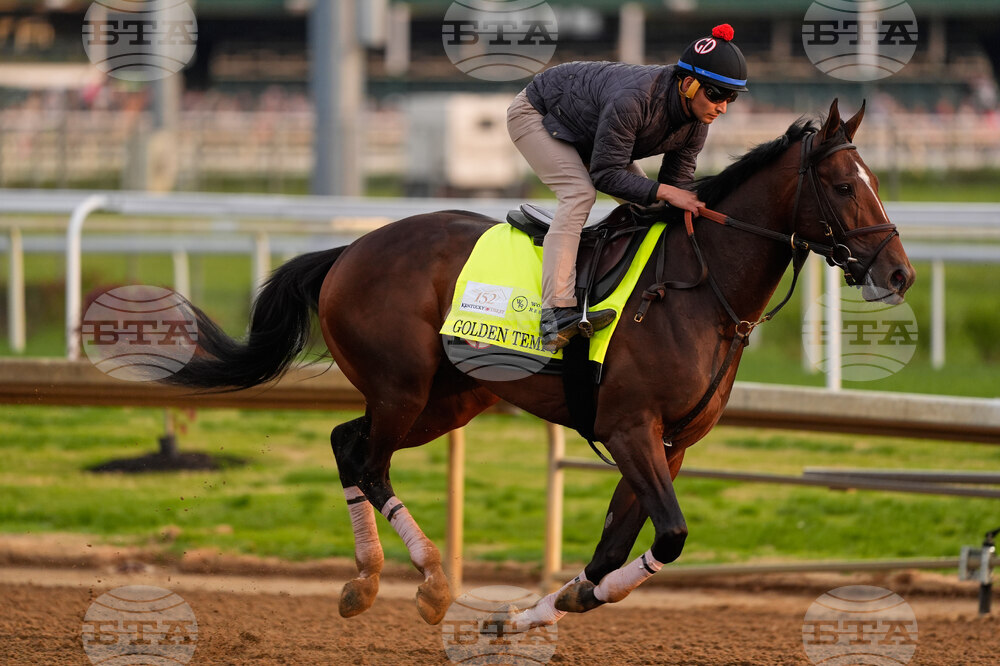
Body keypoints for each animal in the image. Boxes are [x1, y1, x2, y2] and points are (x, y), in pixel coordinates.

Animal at [162, 100, 915, 629]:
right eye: (844, 186)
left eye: (876, 181)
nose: (899, 273)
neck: (700, 291)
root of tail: (350, 250)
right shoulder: (629, 428)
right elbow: (669, 536)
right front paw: (540, 607)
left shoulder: (670, 444)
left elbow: (614, 550)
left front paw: (533, 613)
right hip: (402, 386)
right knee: (370, 462)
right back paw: (429, 581)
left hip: (450, 398)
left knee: (347, 443)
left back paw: (366, 580)